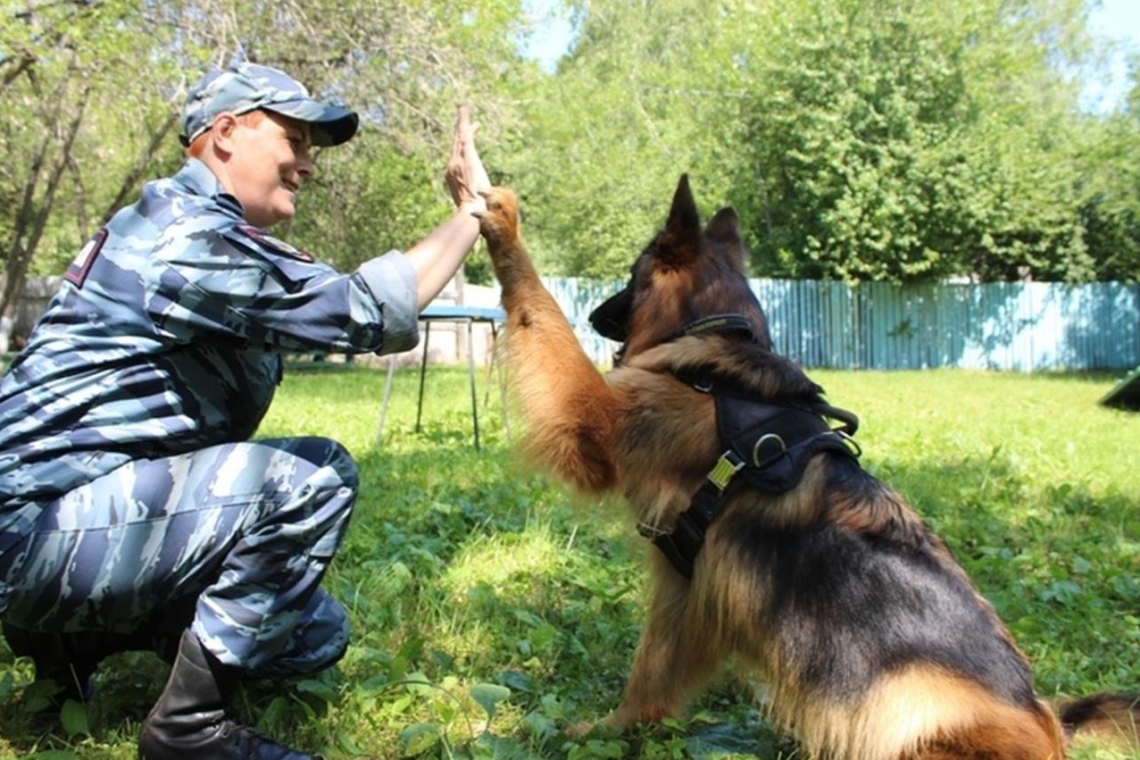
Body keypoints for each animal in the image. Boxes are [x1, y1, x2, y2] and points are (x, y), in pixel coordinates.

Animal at [469, 175, 1130, 756]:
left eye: (631, 278)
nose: (597, 315)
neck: (717, 358)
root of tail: (1051, 726)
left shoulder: (589, 418)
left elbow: (539, 309)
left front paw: (505, 228)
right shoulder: (686, 582)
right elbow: (650, 673)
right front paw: (616, 730)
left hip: (909, 712)